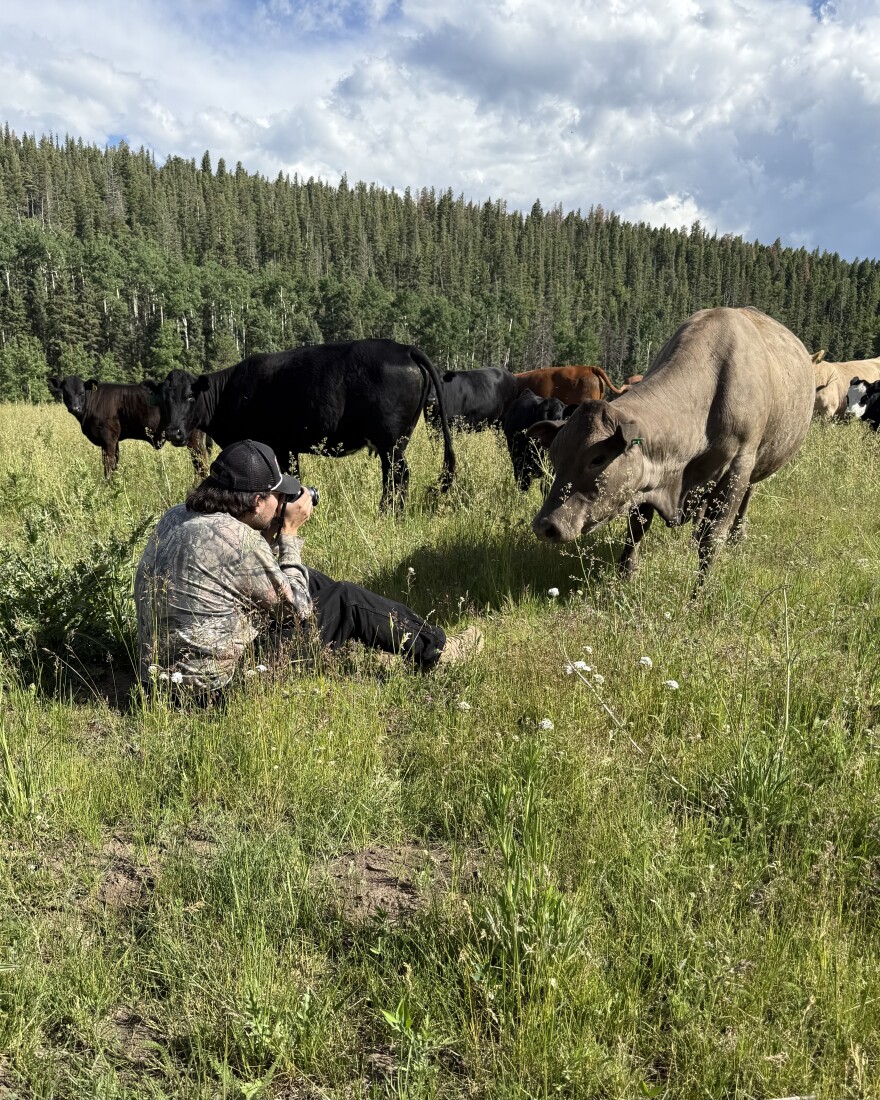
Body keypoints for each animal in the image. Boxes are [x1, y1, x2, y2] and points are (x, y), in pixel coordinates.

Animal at [47, 375, 209, 478]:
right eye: (66, 393)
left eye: (81, 393)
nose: (75, 408)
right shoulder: (113, 440)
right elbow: (114, 463)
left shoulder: (108, 438)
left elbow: (108, 464)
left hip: (193, 440)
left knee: (202, 464)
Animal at [144, 340, 456, 510]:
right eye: (163, 399)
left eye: (190, 396)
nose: (174, 432)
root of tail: (404, 349)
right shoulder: (289, 449)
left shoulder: (277, 446)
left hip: (390, 442)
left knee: (397, 476)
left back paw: (388, 513)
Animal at [527, 307, 814, 578]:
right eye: (554, 457)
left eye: (597, 459)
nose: (545, 526)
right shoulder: (648, 477)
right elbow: (637, 527)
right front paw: (625, 575)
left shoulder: (738, 469)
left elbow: (712, 539)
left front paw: (701, 592)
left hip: (759, 462)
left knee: (748, 495)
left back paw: (737, 535)